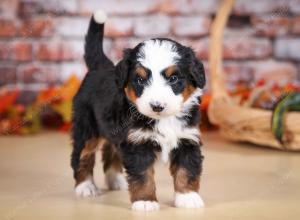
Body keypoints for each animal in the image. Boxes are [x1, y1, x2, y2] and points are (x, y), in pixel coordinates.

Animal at [70, 10, 206, 211]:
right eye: (140, 80)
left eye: (173, 78)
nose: (157, 106)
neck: (164, 119)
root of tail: (99, 67)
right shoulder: (137, 143)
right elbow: (143, 175)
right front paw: (145, 201)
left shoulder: (187, 139)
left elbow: (187, 169)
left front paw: (188, 197)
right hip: (86, 127)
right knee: (82, 155)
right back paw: (85, 186)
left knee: (111, 151)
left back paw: (116, 180)